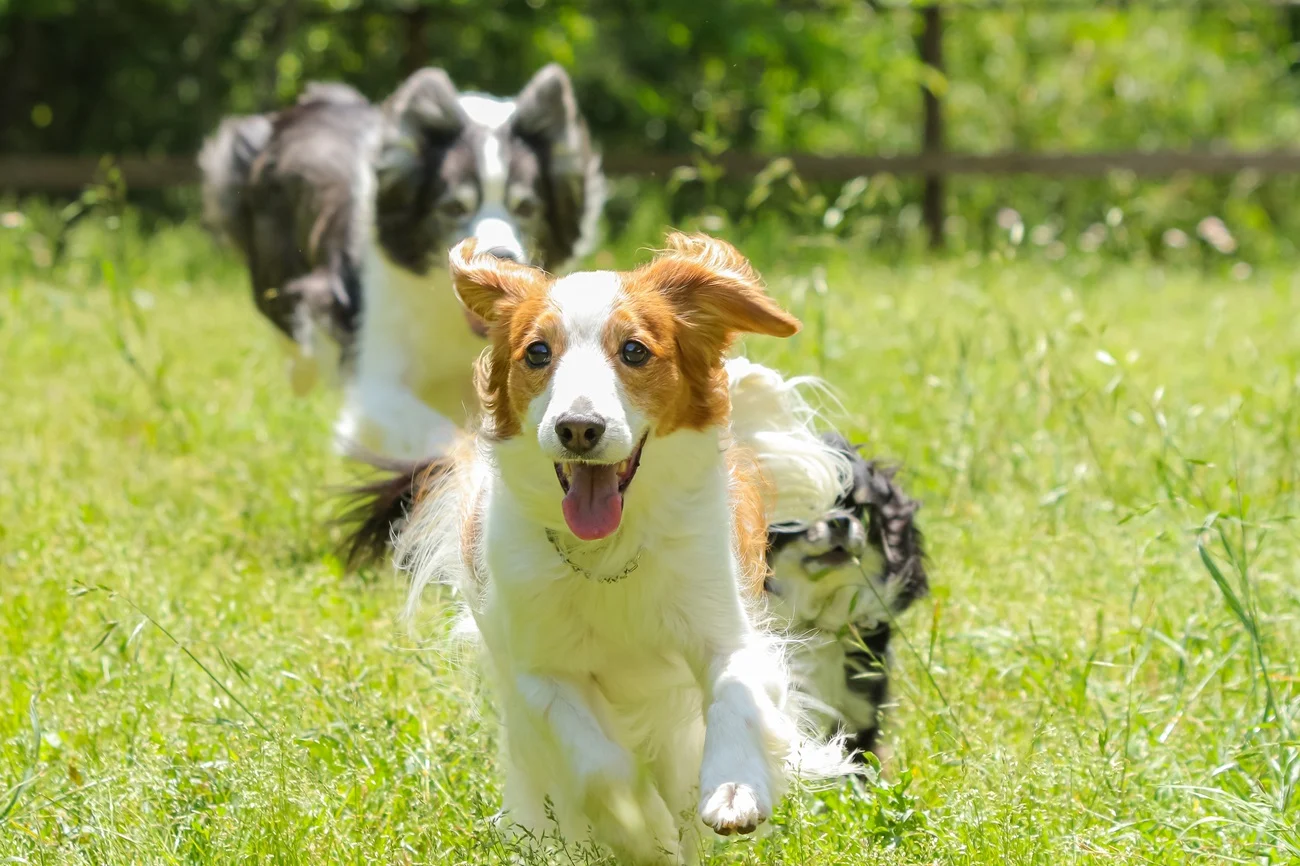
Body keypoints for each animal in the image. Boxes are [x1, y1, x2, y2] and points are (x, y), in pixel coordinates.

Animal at [390, 232, 847, 858]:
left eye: (633, 351)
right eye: (537, 353)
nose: (579, 428)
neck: (608, 553)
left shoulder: (723, 628)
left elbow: (734, 694)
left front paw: (733, 791)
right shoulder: (538, 673)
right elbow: (599, 767)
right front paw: (643, 831)